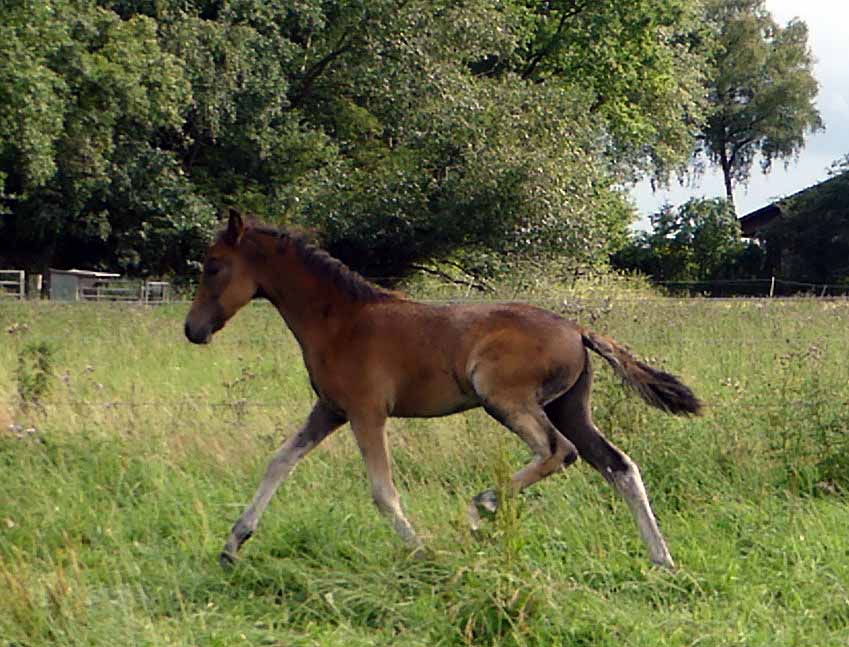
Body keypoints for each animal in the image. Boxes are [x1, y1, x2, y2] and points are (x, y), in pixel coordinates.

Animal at [186, 210, 704, 568]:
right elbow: (279, 461)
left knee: (558, 451)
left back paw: (480, 507)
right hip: (568, 407)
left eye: (213, 266)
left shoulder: (366, 412)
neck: (339, 320)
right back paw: (662, 559)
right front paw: (232, 545)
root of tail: (578, 330)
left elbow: (382, 492)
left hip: (504, 397)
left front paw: (421, 552)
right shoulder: (329, 409)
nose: (193, 330)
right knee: (618, 466)